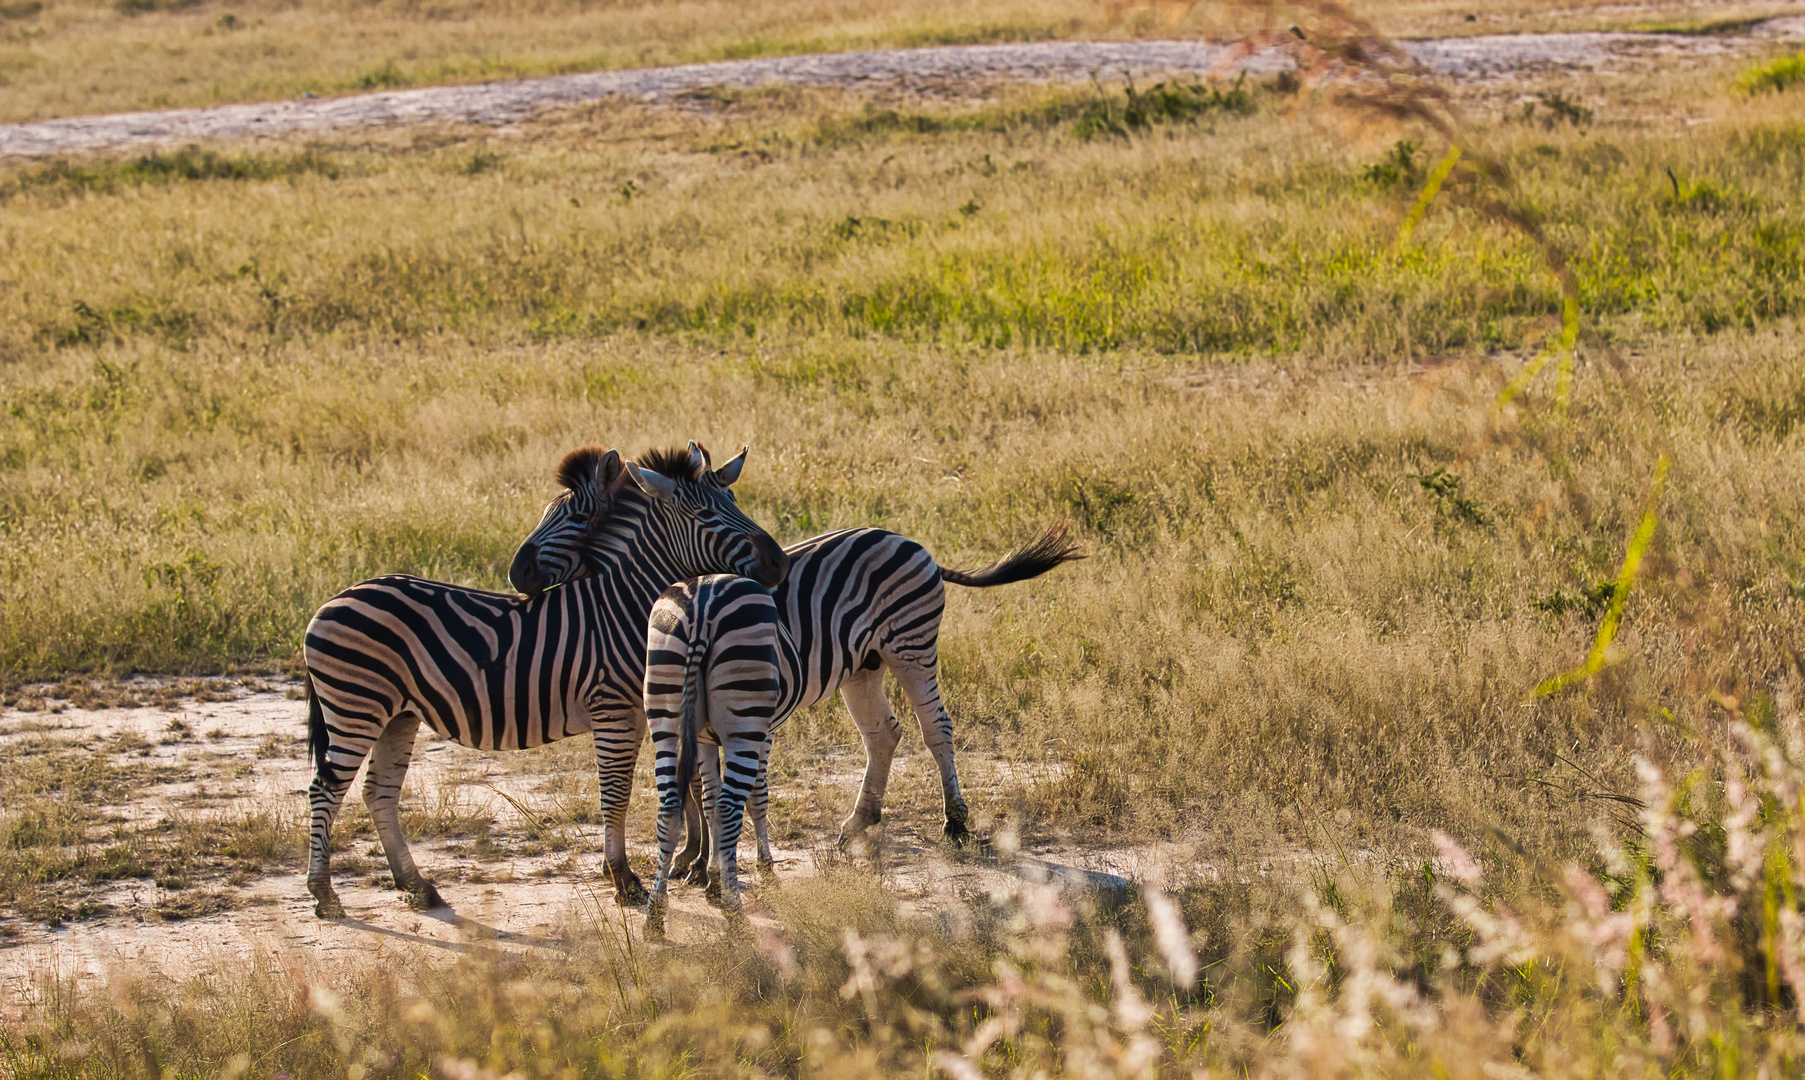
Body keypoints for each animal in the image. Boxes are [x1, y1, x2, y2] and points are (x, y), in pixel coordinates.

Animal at [301, 444, 783, 917]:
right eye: (705, 514)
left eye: (734, 501)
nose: (778, 563)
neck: (621, 606)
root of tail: (330, 602)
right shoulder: (613, 710)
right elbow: (616, 794)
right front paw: (624, 881)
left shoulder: (639, 713)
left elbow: (657, 788)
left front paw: (665, 870)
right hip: (356, 707)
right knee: (326, 788)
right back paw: (324, 895)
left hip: (397, 714)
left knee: (378, 792)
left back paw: (416, 887)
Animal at [505, 456, 1083, 881]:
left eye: (577, 517)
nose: (517, 573)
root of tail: (909, 541)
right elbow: (693, 781)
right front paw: (696, 861)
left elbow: (697, 783)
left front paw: (700, 863)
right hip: (862, 665)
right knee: (884, 733)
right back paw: (858, 824)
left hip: (911, 645)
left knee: (936, 727)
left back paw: (955, 823)